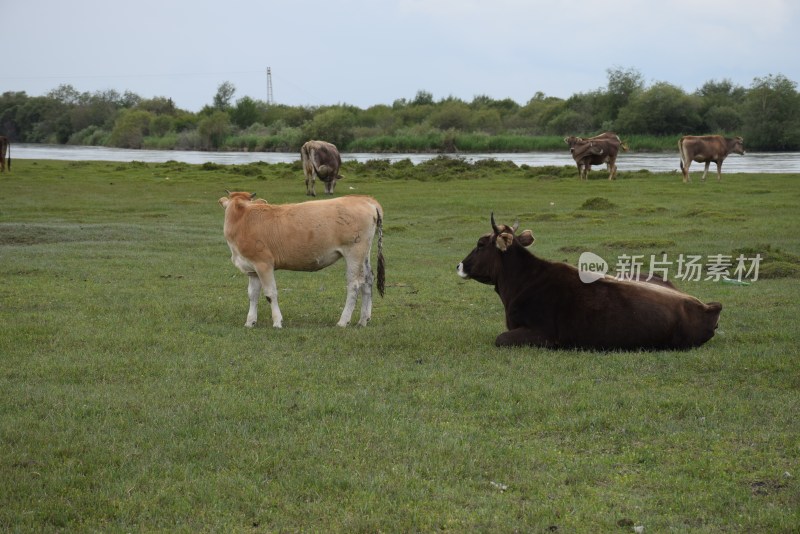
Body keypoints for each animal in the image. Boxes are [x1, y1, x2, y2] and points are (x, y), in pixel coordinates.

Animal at [217, 191, 382, 328]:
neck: (242, 221)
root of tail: (364, 199)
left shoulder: (264, 264)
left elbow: (270, 293)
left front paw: (277, 322)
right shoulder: (252, 269)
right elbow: (253, 295)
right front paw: (250, 322)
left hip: (354, 252)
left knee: (354, 284)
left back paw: (343, 321)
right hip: (364, 254)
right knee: (368, 280)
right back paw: (363, 320)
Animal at [456, 214, 724, 352]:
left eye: (480, 244)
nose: (459, 265)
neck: (524, 280)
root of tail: (707, 307)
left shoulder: (542, 334)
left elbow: (500, 338)